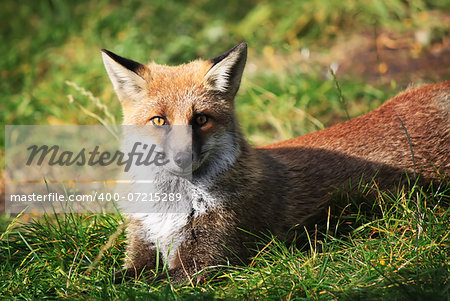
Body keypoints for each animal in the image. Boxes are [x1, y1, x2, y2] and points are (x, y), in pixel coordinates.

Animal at [100, 42, 448, 284]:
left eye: (200, 119)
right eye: (159, 120)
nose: (182, 157)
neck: (170, 208)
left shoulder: (206, 260)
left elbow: (136, 285)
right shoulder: (141, 246)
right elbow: (112, 279)